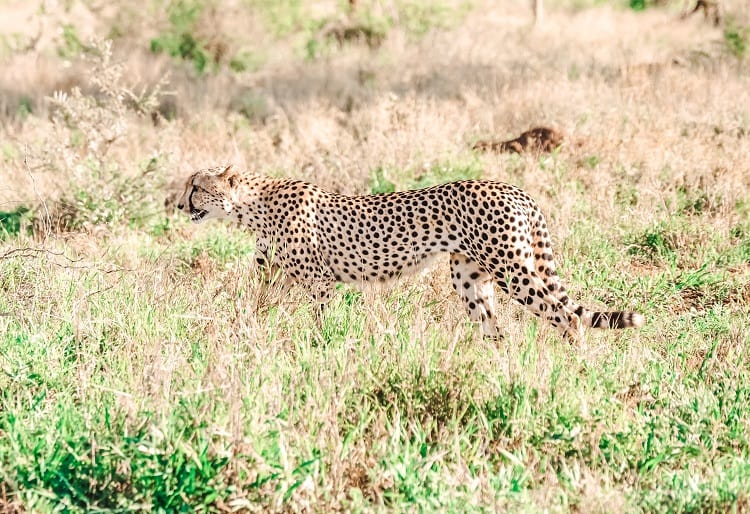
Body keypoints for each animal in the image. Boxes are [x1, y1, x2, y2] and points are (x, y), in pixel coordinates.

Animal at [178, 165, 648, 340]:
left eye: (196, 187)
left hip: (512, 269)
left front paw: (318, 347)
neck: (252, 207)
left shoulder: (319, 281)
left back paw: (572, 366)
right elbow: (253, 308)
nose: (180, 204)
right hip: (469, 278)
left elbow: (318, 320)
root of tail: (514, 188)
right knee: (496, 330)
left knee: (566, 316)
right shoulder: (273, 276)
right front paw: (242, 337)